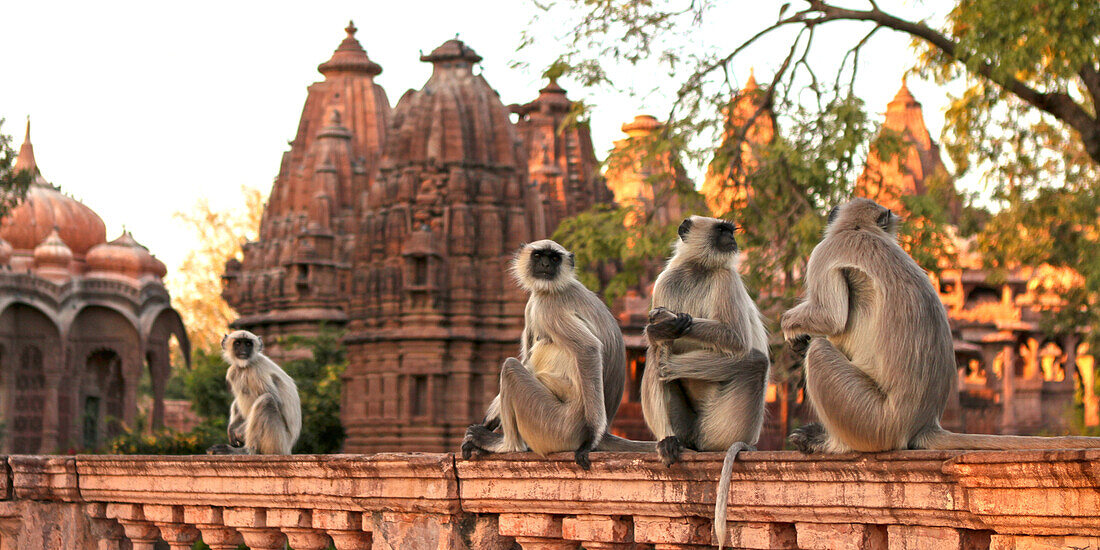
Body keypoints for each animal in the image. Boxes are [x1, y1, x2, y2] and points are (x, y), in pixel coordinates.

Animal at [462, 239, 651, 468]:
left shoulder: (549, 306)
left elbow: (588, 348)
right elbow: (526, 358)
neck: (550, 289)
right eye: (538, 256)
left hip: (556, 425)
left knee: (511, 367)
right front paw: (488, 422)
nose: (545, 265)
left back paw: (508, 445)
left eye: (554, 258)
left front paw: (591, 441)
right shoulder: (533, 304)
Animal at [642, 215, 770, 550]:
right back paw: (669, 441)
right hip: (687, 427)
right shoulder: (664, 281)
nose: (732, 240)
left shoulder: (726, 278)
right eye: (722, 230)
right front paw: (664, 328)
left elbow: (736, 340)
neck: (697, 269)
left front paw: (671, 322)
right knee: (652, 357)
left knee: (755, 361)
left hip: (720, 426)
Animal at [778, 200, 1100, 453]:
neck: (861, 230)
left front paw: (790, 326)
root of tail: (923, 424)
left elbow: (831, 317)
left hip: (871, 419)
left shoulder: (825, 252)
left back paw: (830, 443)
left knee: (819, 350)